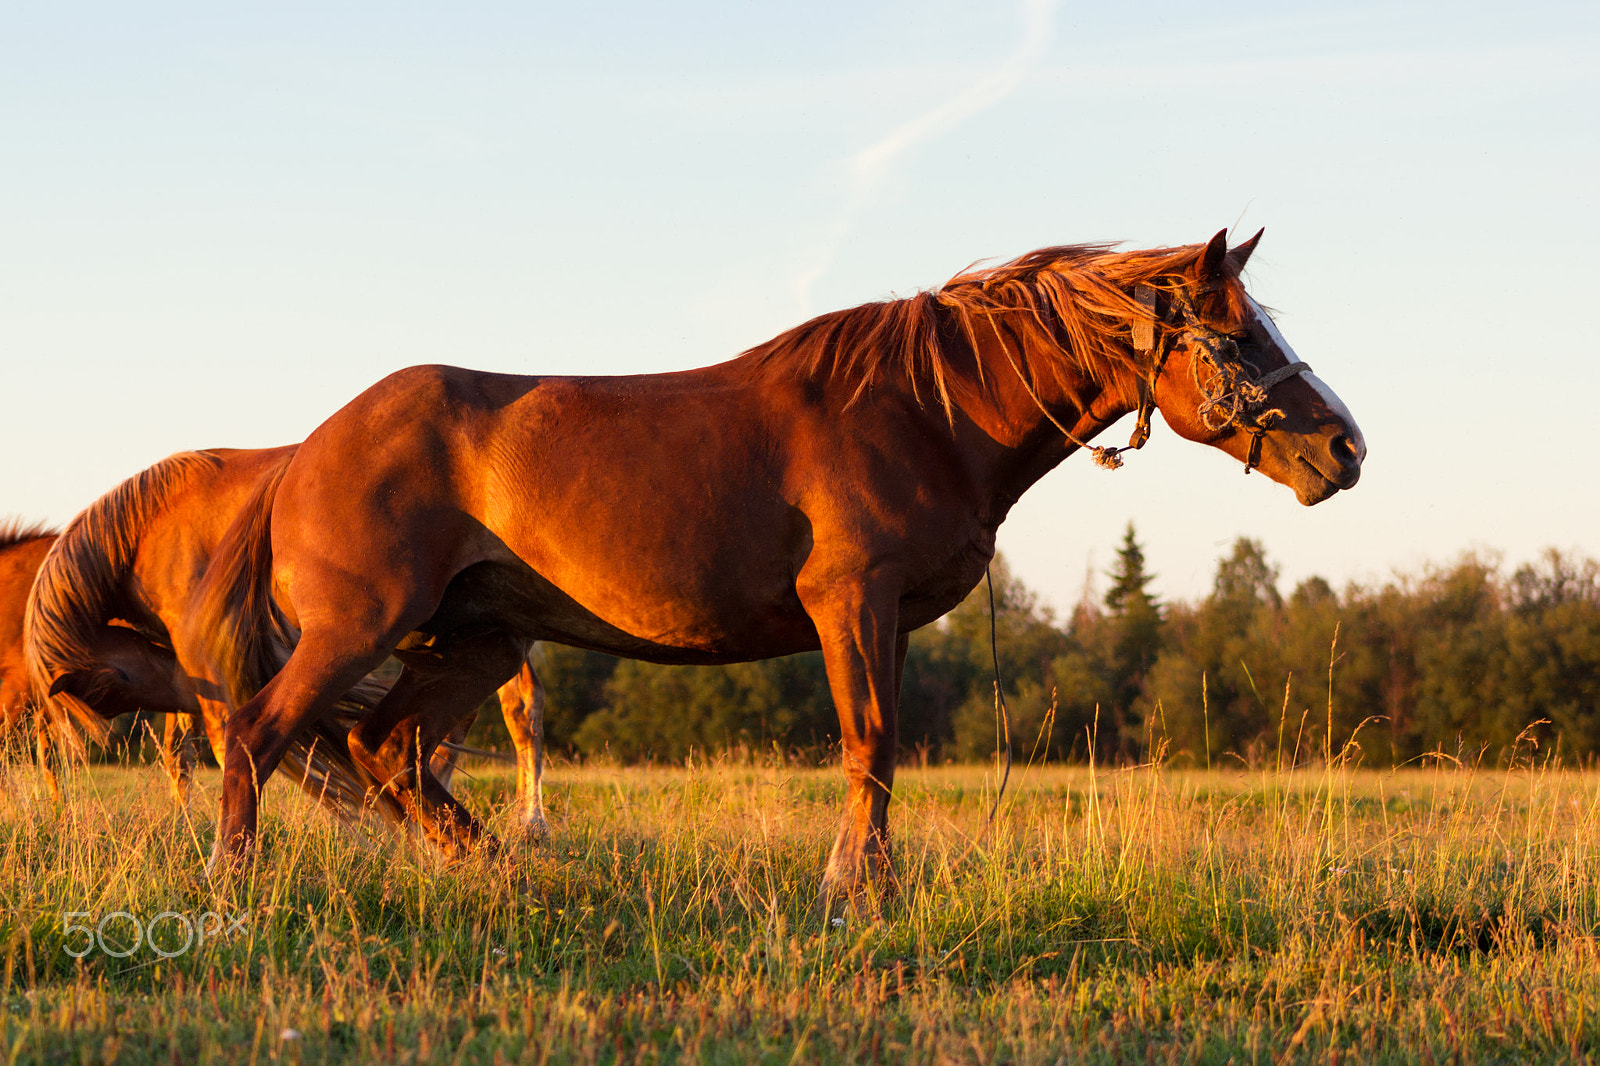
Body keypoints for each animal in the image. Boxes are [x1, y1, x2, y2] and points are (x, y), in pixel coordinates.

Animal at [171, 229, 1362, 896]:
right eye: (1240, 337)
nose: (1345, 447)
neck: (924, 412)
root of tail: (304, 452)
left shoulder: (879, 616)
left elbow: (879, 748)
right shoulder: (853, 603)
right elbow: (870, 741)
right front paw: (856, 887)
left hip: (473, 642)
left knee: (385, 752)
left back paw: (498, 873)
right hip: (361, 631)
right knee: (262, 733)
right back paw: (236, 886)